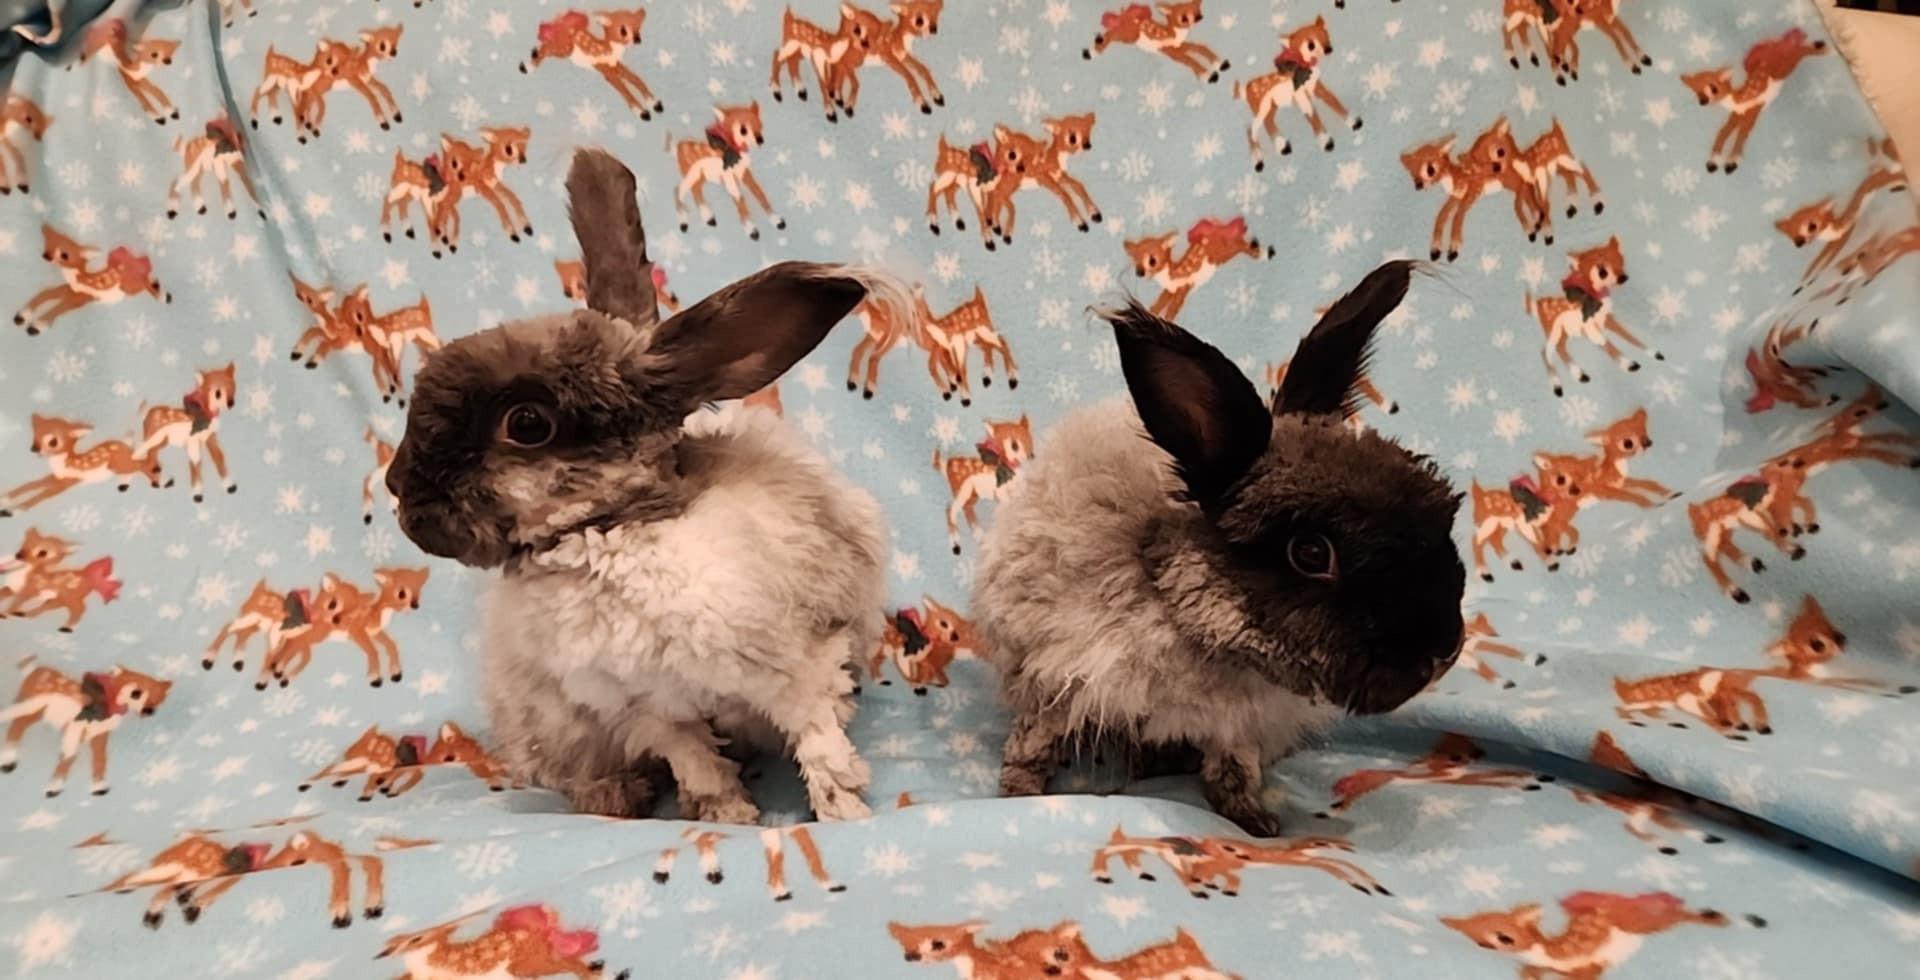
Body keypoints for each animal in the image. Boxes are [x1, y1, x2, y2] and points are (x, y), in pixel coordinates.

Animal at [384, 148, 896, 823]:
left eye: (527, 423)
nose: (397, 488)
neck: (609, 531)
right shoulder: (650, 710)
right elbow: (700, 766)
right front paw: (729, 818)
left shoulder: (796, 670)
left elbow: (820, 746)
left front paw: (844, 816)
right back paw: (617, 797)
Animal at [971, 260, 1467, 836]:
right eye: (1311, 553)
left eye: (1442, 514)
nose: (1443, 650)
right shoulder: (1054, 676)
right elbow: (1034, 742)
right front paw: (1018, 796)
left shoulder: (1239, 725)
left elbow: (1234, 769)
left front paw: (1256, 823)